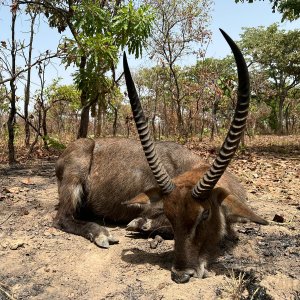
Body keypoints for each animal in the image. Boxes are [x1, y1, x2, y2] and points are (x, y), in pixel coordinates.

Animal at [55, 30, 268, 284]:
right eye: (170, 213)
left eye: (204, 215)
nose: (181, 274)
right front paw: (141, 224)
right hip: (77, 169)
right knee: (63, 218)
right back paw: (100, 232)